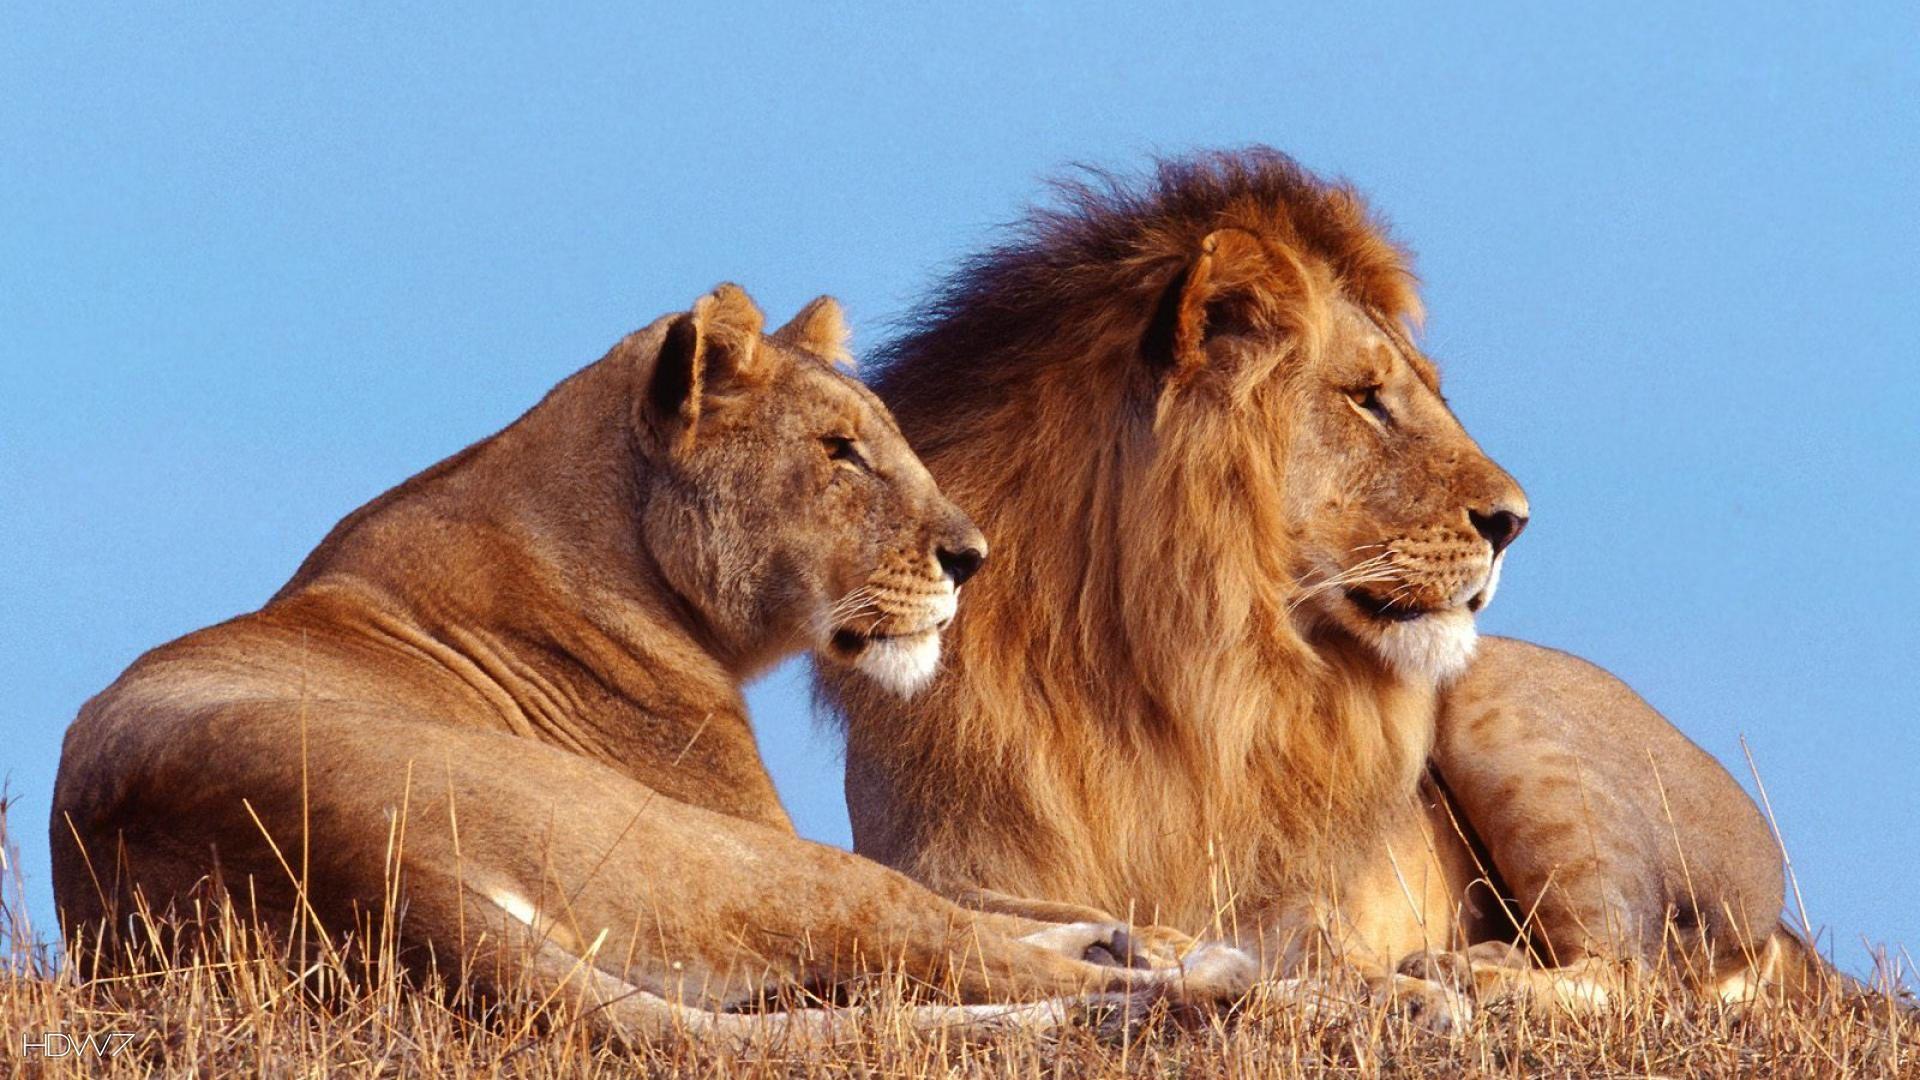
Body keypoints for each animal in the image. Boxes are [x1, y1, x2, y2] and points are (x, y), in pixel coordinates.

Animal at [50, 283, 1255, 1045]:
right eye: (838, 452)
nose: (974, 556)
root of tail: (358, 868)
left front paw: (1121, 926)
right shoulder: (749, 822)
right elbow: (963, 908)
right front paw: (1151, 943)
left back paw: (1129, 950)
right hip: (728, 858)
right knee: (940, 943)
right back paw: (1196, 975)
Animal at [819, 150, 1825, 1020]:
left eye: (1424, 390)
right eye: (1366, 397)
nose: (1514, 520)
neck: (1148, 665)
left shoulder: (1290, 895)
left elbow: (1308, 948)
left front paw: (1378, 989)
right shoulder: (931, 853)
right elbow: (976, 913)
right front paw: (1127, 945)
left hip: (1501, 706)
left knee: (1635, 972)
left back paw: (1467, 972)